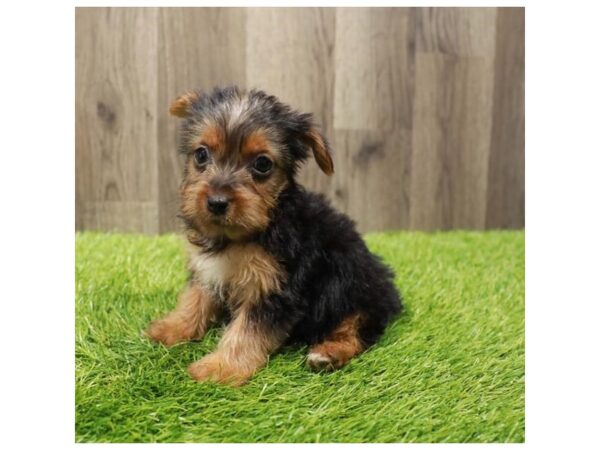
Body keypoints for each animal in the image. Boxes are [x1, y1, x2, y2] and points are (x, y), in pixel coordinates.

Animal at [145, 86, 400, 384]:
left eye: (263, 164)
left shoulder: (275, 289)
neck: (244, 234)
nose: (217, 202)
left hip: (359, 286)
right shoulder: (207, 270)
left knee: (357, 327)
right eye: (201, 155)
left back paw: (328, 354)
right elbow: (195, 298)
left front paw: (219, 368)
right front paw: (172, 327)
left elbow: (247, 331)